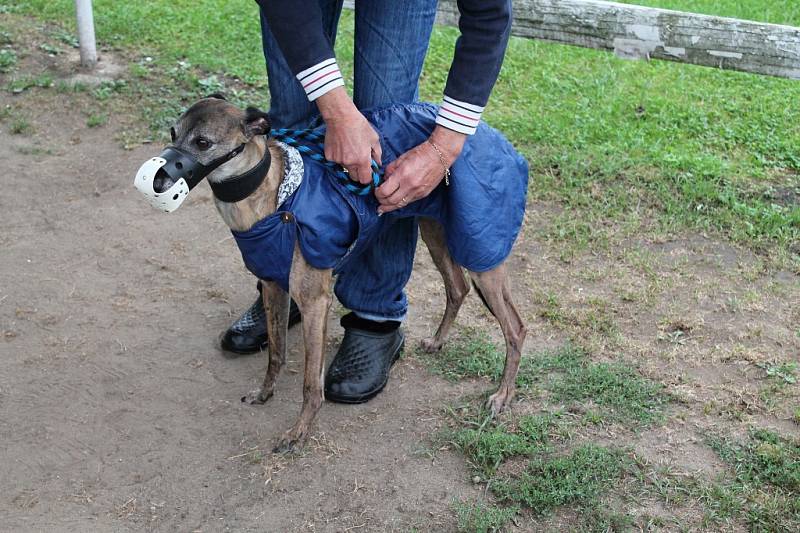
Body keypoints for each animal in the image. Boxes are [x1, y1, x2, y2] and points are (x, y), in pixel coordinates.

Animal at [134, 96, 528, 454]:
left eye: (203, 142)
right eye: (174, 133)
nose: (159, 179)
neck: (273, 197)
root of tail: (492, 135)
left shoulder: (315, 302)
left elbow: (312, 383)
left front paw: (298, 433)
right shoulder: (274, 287)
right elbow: (276, 352)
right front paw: (264, 393)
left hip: (481, 251)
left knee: (515, 328)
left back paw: (502, 395)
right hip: (434, 228)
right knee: (457, 288)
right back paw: (438, 342)